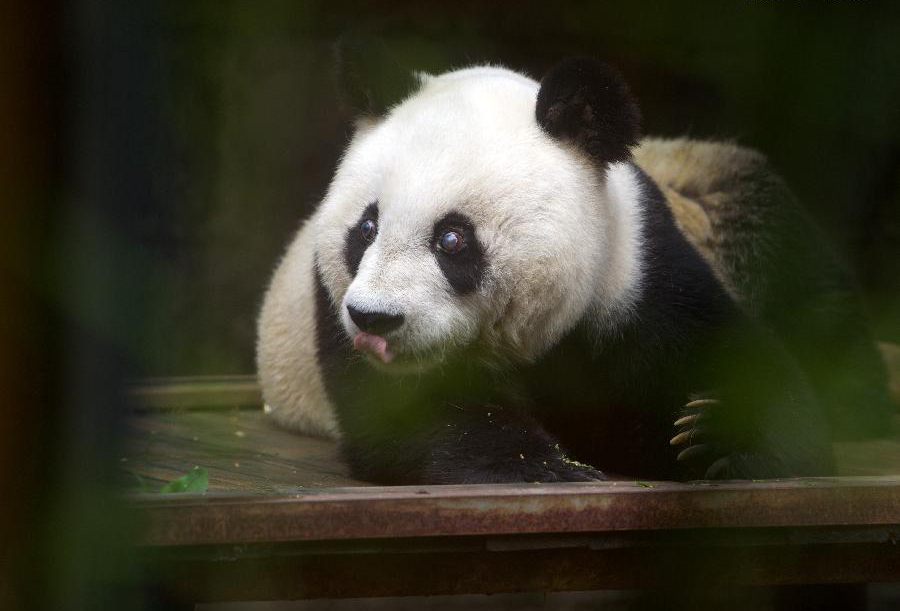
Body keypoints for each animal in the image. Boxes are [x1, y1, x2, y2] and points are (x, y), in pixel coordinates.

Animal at [257, 56, 893, 484]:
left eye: (452, 239)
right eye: (365, 229)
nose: (375, 319)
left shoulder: (637, 270)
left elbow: (751, 370)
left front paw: (713, 436)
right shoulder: (331, 306)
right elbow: (412, 417)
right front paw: (542, 467)